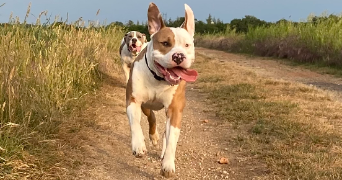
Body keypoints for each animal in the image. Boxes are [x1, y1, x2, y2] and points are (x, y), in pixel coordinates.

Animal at [125, 2, 198, 177]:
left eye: (187, 45)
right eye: (165, 43)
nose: (179, 56)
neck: (158, 79)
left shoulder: (175, 109)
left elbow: (172, 139)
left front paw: (168, 164)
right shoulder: (133, 100)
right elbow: (135, 123)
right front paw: (138, 145)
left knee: (167, 132)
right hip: (146, 105)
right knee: (151, 117)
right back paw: (153, 136)